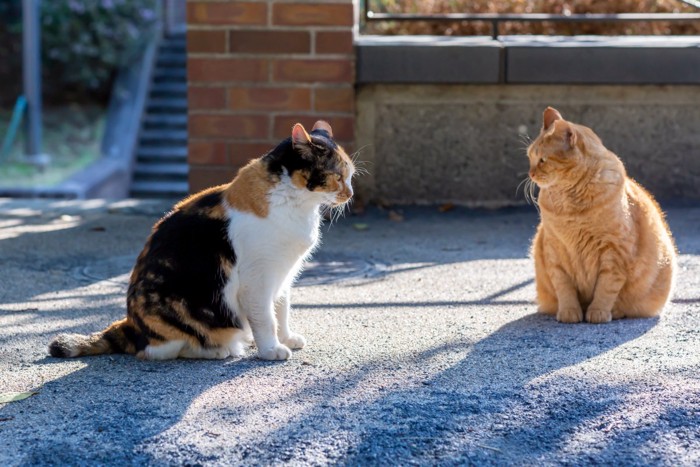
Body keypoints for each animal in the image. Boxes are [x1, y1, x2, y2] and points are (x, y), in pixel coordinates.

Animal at [50, 121, 356, 362]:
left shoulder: (284, 275)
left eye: (351, 176)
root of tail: (129, 325)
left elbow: (281, 311)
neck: (297, 205)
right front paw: (271, 349)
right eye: (337, 176)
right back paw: (223, 349)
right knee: (161, 351)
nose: (350, 194)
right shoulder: (258, 278)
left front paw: (287, 338)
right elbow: (266, 318)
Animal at [528, 107, 676, 324]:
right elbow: (564, 288)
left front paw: (598, 312)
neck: (571, 208)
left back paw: (616, 311)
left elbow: (606, 288)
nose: (530, 174)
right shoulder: (554, 251)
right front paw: (569, 312)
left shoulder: (614, 253)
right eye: (529, 157)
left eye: (542, 160)